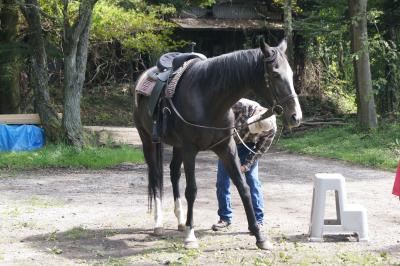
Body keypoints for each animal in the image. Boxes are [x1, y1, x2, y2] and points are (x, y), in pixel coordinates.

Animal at [133, 39, 302, 249]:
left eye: (292, 74)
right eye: (276, 74)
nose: (296, 116)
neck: (207, 98)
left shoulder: (226, 147)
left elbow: (243, 187)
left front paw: (259, 235)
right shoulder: (190, 150)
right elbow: (192, 190)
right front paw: (190, 235)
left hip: (177, 146)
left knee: (173, 173)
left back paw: (180, 221)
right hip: (148, 139)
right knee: (156, 176)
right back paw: (159, 223)